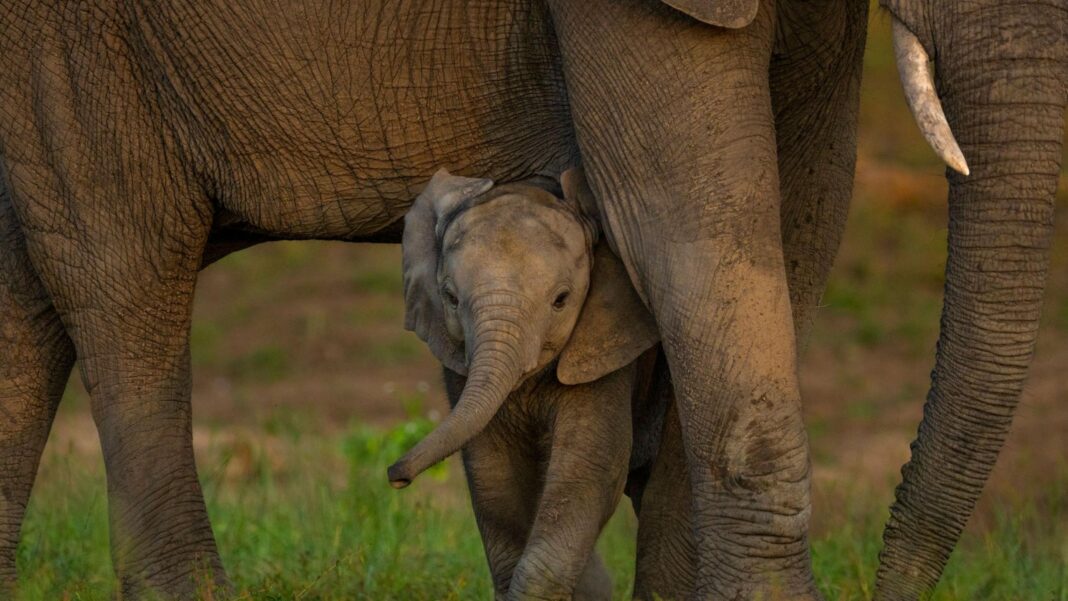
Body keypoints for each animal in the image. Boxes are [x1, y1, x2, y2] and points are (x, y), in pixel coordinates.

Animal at [387, 167, 661, 599]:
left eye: (561, 300)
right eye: (450, 298)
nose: (395, 477)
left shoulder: (604, 347)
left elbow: (589, 468)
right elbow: (493, 470)